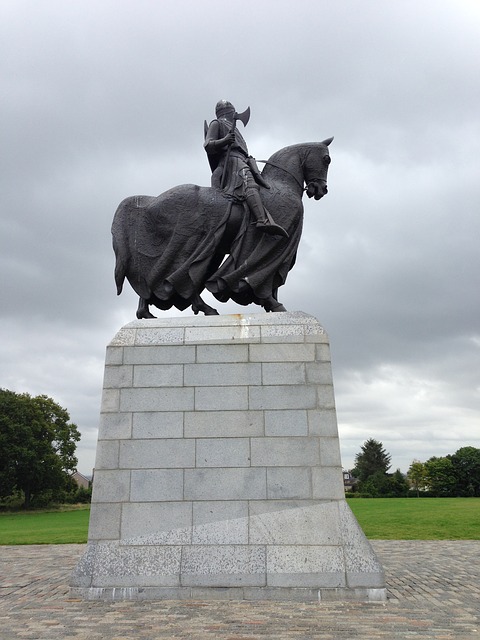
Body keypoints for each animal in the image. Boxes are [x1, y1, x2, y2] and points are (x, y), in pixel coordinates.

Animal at [111, 136, 332, 316]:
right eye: (326, 159)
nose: (321, 189)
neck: (280, 184)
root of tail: (149, 201)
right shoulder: (275, 246)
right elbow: (266, 276)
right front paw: (273, 304)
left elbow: (273, 278)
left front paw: (272, 306)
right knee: (165, 277)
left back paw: (152, 312)